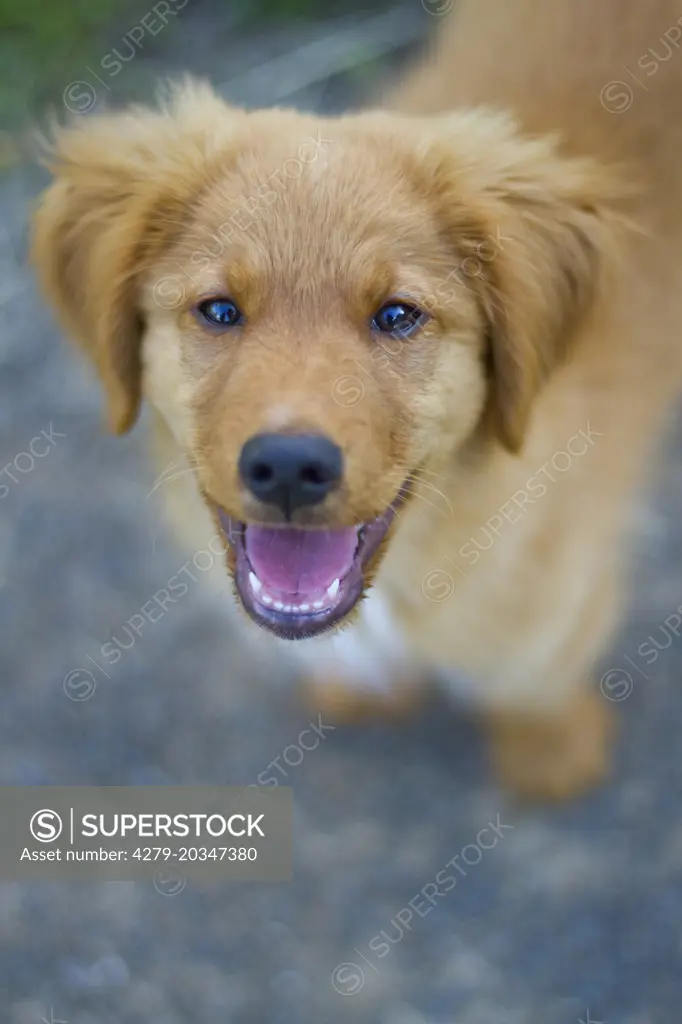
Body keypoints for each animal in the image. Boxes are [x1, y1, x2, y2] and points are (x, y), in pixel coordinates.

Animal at [31, 0, 682, 798]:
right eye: (219, 310)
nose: (287, 467)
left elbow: (535, 676)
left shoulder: (557, 595)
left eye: (397, 315)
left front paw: (550, 757)